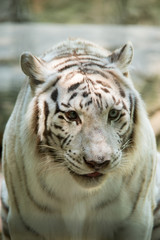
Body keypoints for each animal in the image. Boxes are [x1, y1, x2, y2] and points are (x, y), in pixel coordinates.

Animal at [1, 38, 160, 239]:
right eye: (71, 115)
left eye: (113, 114)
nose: (98, 162)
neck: (81, 194)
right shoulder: (26, 226)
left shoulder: (134, 221)